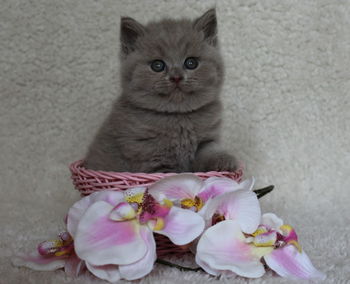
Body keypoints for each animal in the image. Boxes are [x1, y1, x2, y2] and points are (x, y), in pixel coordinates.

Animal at [84, 8, 238, 173]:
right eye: (157, 65)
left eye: (191, 63)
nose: (176, 77)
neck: (178, 116)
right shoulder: (150, 158)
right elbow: (171, 175)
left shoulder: (207, 139)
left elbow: (210, 150)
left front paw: (225, 162)